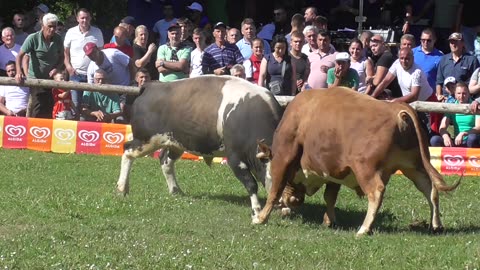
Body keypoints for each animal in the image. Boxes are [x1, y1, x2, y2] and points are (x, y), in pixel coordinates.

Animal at [255, 87, 462, 236]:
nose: (291, 200)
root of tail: (398, 109)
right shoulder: (334, 171)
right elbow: (330, 197)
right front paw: (329, 220)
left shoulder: (284, 157)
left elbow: (275, 190)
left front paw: (261, 217)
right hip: (414, 166)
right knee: (430, 188)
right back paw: (436, 224)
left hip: (367, 169)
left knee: (377, 192)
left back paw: (364, 229)